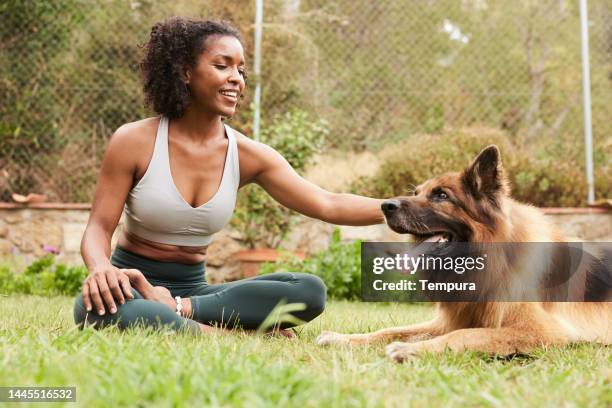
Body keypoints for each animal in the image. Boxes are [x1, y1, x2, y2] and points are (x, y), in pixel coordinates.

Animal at [318, 145, 608, 362]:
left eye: (441, 195)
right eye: (416, 192)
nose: (385, 206)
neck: (491, 258)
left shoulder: (540, 331)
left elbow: (465, 335)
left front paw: (411, 350)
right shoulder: (453, 317)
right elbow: (390, 330)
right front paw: (343, 339)